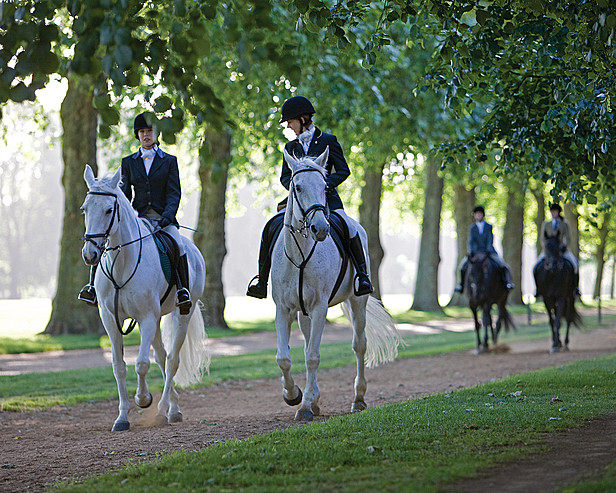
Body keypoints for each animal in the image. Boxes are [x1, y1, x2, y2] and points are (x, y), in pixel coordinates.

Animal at [81, 165, 209, 430]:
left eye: (109, 210)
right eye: (85, 209)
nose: (90, 255)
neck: (122, 264)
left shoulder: (146, 318)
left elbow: (141, 364)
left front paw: (143, 399)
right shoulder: (110, 319)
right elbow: (119, 366)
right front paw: (121, 417)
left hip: (183, 313)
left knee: (171, 360)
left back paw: (163, 411)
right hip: (157, 319)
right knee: (161, 357)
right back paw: (173, 407)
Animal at [272, 148, 402, 420]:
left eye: (325, 186)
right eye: (297, 186)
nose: (320, 228)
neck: (300, 255)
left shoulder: (320, 307)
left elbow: (312, 357)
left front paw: (305, 406)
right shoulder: (284, 308)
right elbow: (284, 358)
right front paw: (294, 395)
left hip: (357, 301)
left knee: (359, 346)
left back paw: (358, 398)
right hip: (304, 313)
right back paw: (314, 398)